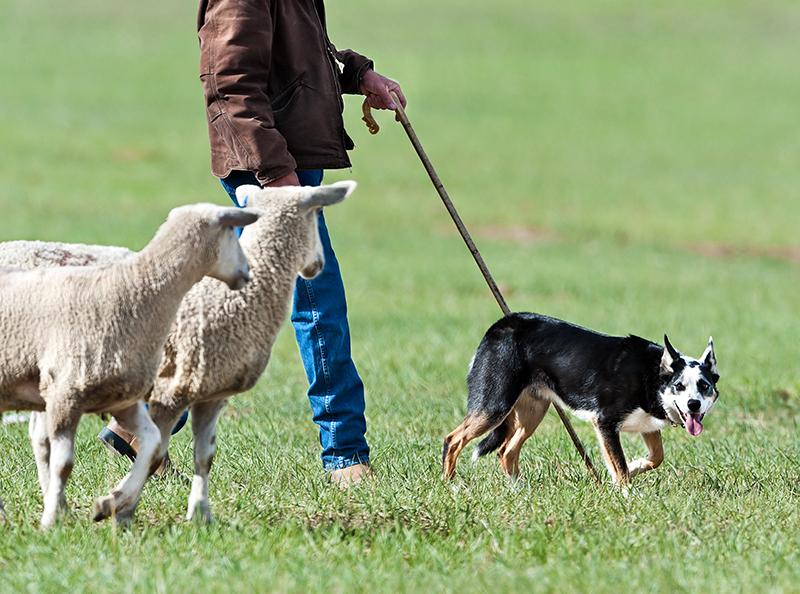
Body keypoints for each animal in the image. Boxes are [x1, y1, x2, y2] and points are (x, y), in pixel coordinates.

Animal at [440, 312, 720, 484]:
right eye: (679, 386)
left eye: (704, 386)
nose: (693, 405)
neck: (652, 375)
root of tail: (499, 325)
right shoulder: (605, 423)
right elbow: (619, 466)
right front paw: (627, 494)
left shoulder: (648, 425)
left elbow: (656, 458)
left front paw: (635, 465)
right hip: (494, 405)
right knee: (453, 440)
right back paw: (451, 485)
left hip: (532, 412)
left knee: (506, 451)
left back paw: (518, 490)